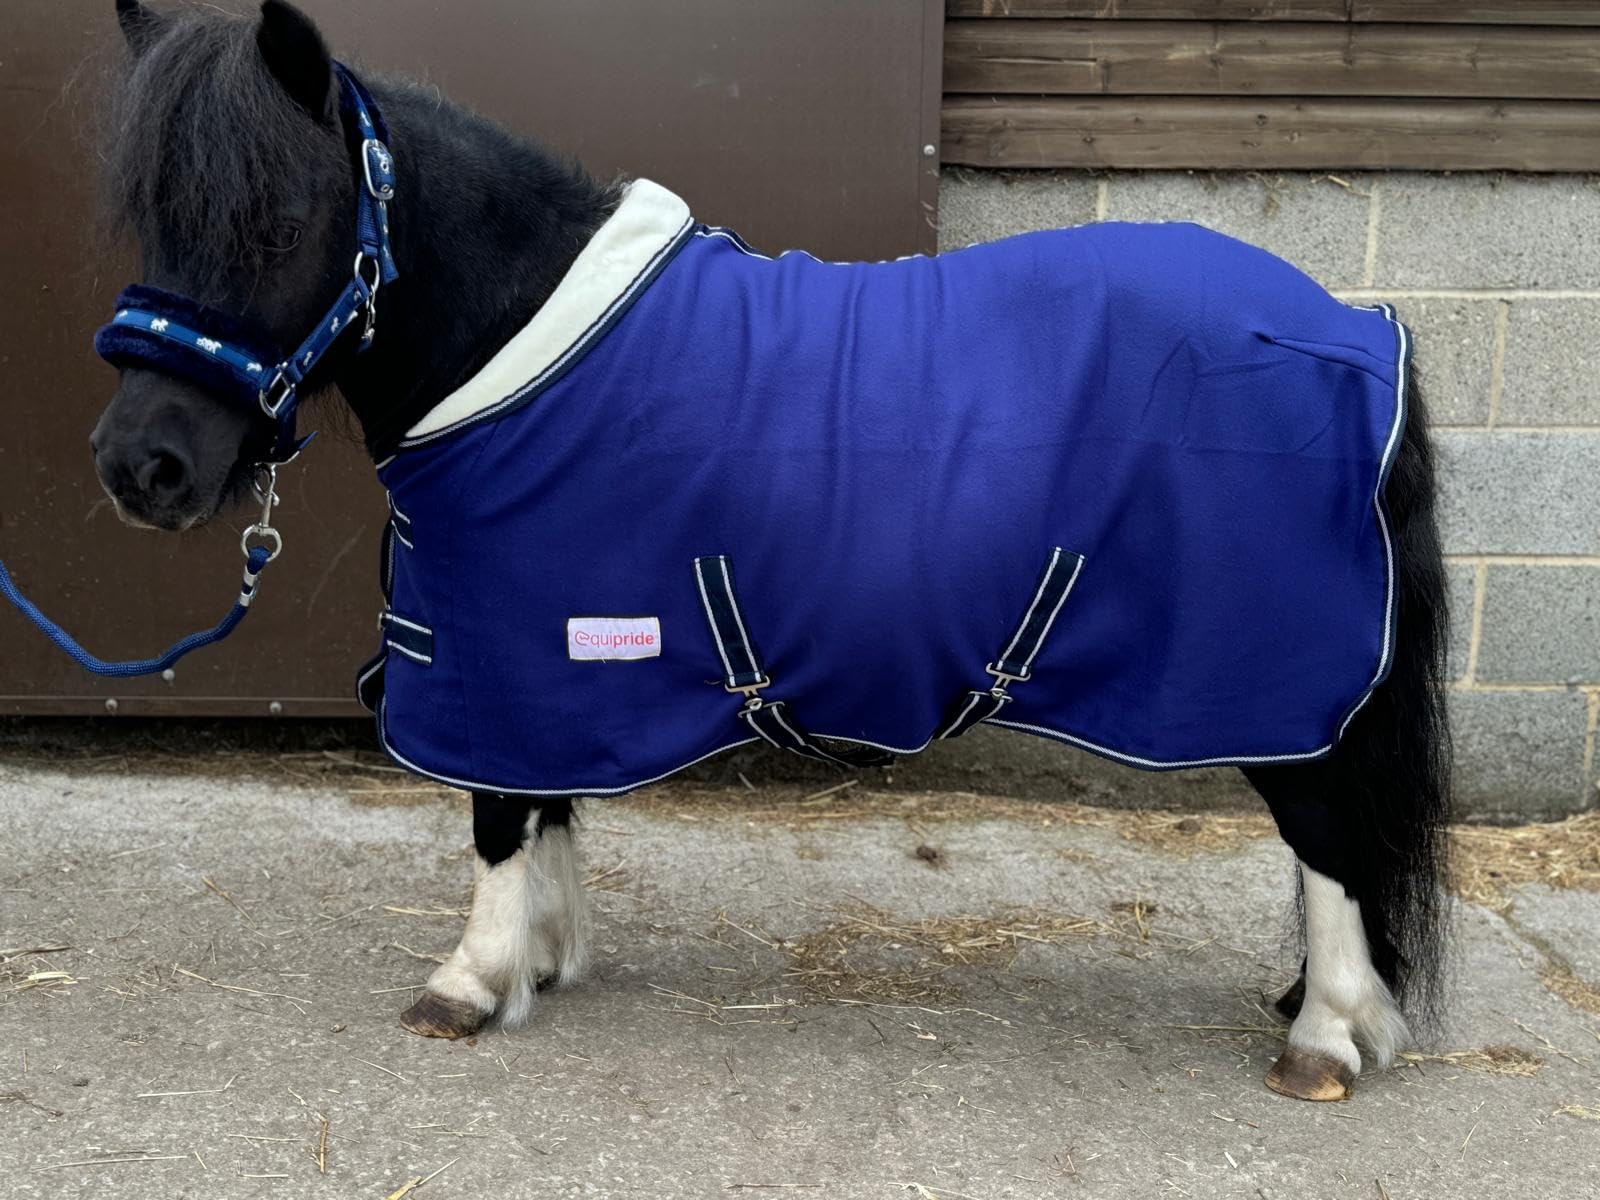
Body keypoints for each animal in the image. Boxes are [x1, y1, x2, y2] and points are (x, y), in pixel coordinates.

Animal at [86, 0, 1450, 1102]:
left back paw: (1324, 1037)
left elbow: (497, 816)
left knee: (1327, 836)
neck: (523, 349)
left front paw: (469, 981)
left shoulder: (502, 650)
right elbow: (546, 805)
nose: (139, 466)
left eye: (278, 223)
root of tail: (1345, 329)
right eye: (153, 221)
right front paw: (544, 959)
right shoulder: (547, 663)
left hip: (1277, 690)